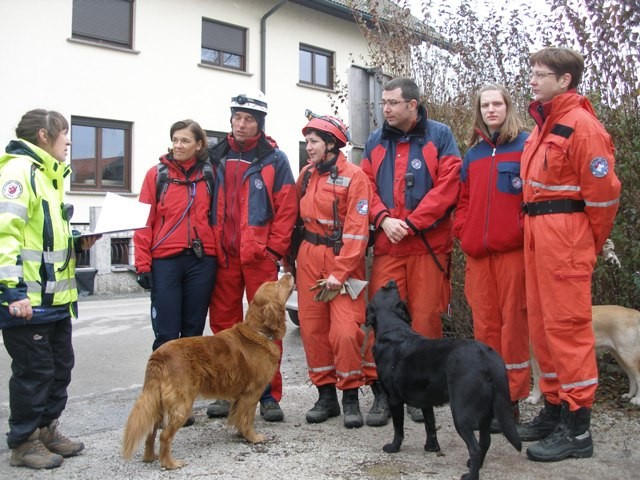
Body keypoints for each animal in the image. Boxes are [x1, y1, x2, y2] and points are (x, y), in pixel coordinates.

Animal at [364, 280, 520, 480]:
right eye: (391, 289)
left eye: (383, 289)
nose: (391, 281)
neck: (393, 329)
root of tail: (488, 357)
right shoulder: (425, 401)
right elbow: (430, 425)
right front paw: (431, 448)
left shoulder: (394, 399)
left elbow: (398, 428)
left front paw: (393, 447)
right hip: (486, 412)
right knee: (485, 441)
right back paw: (475, 466)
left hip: (461, 412)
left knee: (475, 448)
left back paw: (470, 475)